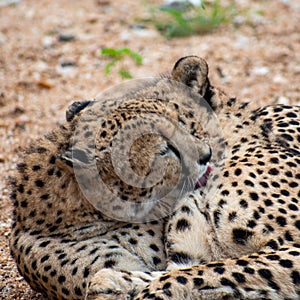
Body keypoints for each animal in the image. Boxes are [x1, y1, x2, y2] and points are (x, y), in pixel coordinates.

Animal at [9, 56, 300, 300]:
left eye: (181, 120)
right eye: (162, 148)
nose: (204, 155)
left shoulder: (290, 249)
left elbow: (195, 274)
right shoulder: (189, 254)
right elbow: (192, 272)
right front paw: (116, 282)